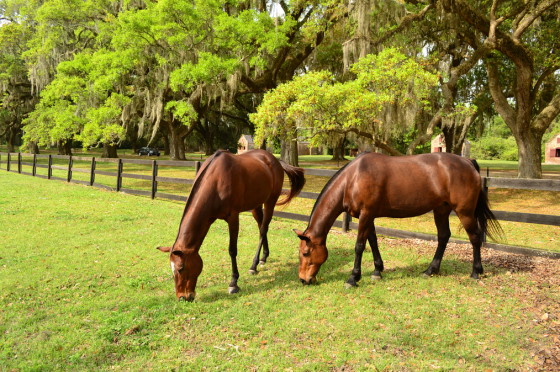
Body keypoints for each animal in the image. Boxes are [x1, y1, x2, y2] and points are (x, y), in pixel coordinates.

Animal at [158, 149, 306, 302]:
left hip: (270, 200)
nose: (182, 297)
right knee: (261, 227)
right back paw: (263, 258)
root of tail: (274, 160)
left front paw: (233, 283)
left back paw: (253, 265)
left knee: (263, 229)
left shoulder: (233, 217)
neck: (216, 181)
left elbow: (232, 250)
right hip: (256, 205)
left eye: (181, 268)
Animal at [296, 151, 500, 288]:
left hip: (464, 212)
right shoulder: (368, 216)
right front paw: (377, 271)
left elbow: (360, 246)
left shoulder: (366, 214)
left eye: (306, 253)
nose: (303, 279)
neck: (353, 179)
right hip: (441, 209)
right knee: (443, 236)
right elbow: (373, 242)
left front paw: (353, 278)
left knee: (475, 238)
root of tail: (467, 161)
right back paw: (430, 270)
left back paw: (475, 272)